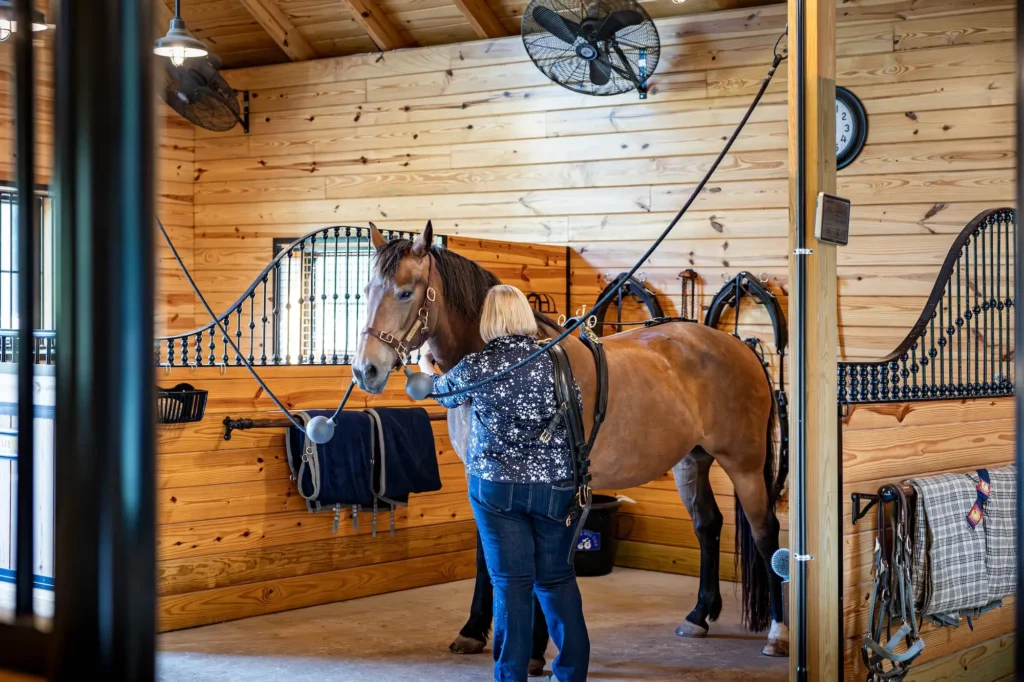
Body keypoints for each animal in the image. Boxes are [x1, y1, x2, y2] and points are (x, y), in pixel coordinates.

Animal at [352, 222, 789, 659]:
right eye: (366, 290)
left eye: (405, 292)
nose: (364, 370)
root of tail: (739, 346)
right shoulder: (484, 476)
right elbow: (487, 554)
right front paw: (474, 630)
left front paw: (533, 648)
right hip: (691, 461)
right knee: (707, 525)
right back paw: (699, 614)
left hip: (744, 465)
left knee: (765, 532)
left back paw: (777, 632)